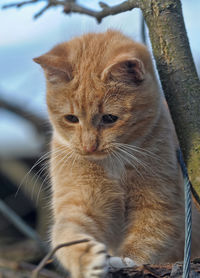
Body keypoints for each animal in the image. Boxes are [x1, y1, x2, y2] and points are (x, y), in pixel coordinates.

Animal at [34, 30, 200, 278]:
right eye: (71, 118)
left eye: (109, 118)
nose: (89, 147)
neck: (114, 164)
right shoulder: (79, 203)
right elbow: (68, 236)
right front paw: (88, 261)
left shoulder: (161, 210)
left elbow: (145, 241)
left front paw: (124, 261)